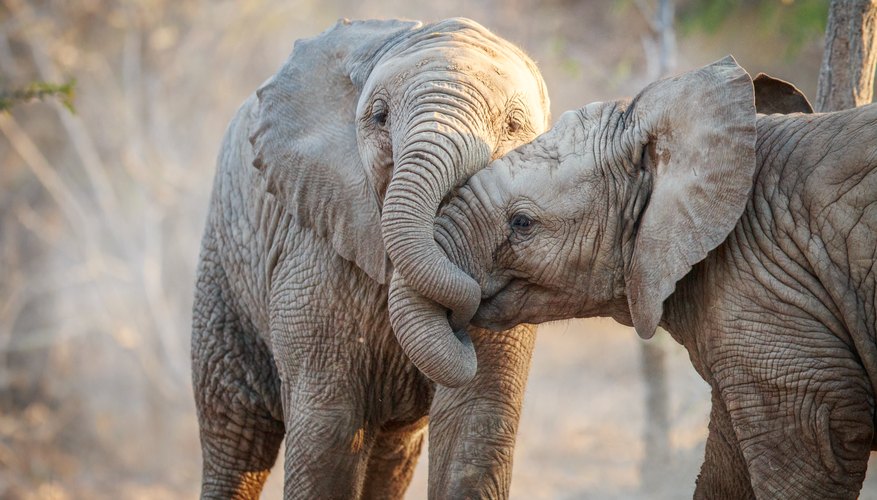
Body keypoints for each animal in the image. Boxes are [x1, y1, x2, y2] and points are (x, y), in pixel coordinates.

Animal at [192, 17, 548, 498]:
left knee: (391, 455)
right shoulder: (312, 249)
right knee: (234, 436)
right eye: (379, 117)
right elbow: (328, 428)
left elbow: (474, 422)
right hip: (224, 267)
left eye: (513, 125)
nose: (461, 315)